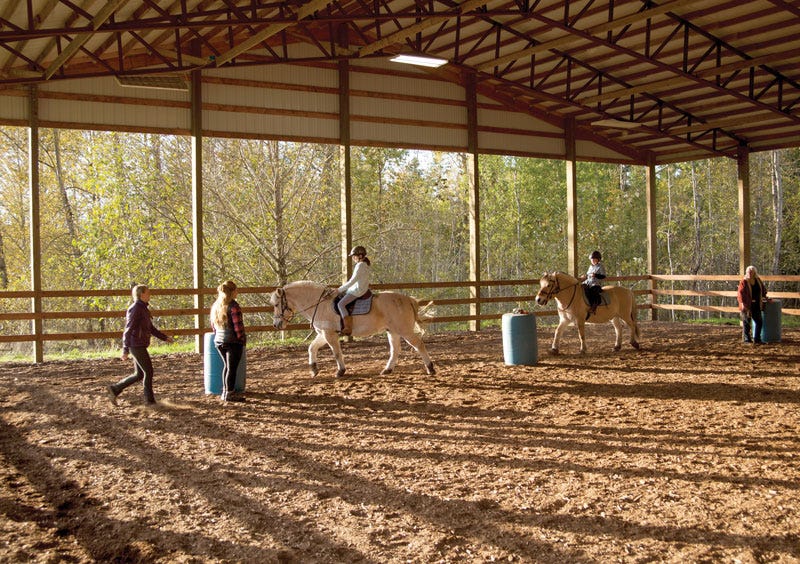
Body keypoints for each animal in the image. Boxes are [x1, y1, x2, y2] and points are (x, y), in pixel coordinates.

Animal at [268, 282, 434, 378]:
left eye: (276, 304)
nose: (276, 325)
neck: (320, 304)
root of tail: (407, 299)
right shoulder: (323, 333)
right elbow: (311, 348)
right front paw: (314, 369)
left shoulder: (329, 334)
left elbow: (336, 353)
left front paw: (340, 371)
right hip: (392, 331)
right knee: (395, 350)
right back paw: (387, 370)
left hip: (404, 330)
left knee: (419, 345)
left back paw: (430, 368)